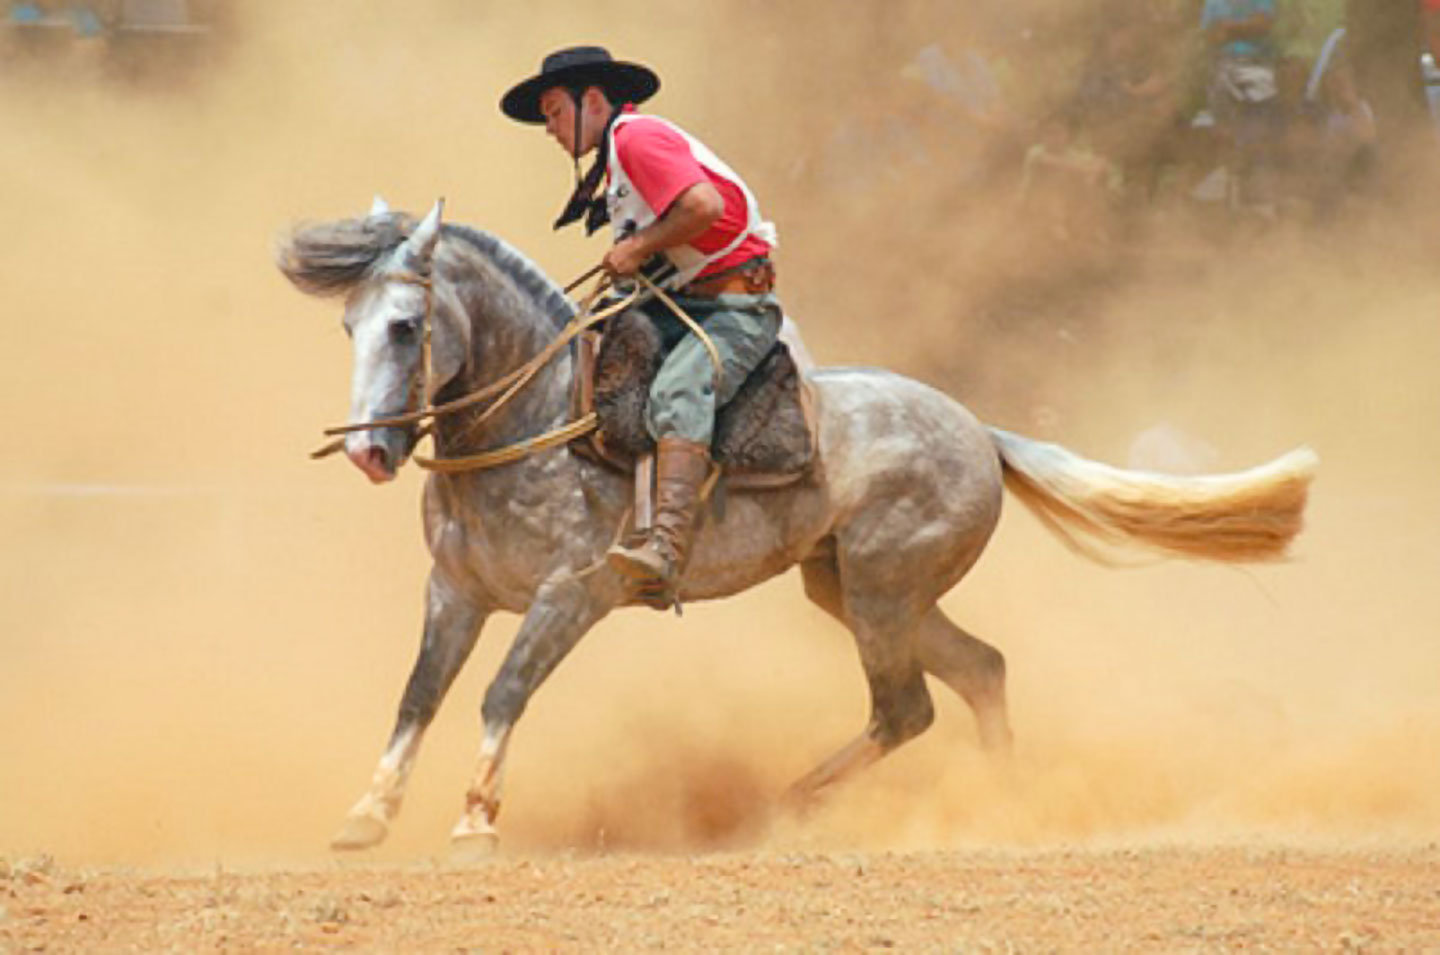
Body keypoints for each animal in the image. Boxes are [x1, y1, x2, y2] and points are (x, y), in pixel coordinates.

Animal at [277, 200, 1319, 852]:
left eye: (406, 327)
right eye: (348, 328)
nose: (370, 452)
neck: (536, 417)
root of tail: (980, 431)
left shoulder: (572, 594)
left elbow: (501, 693)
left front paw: (474, 820)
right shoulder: (453, 590)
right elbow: (417, 695)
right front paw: (367, 814)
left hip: (883, 590)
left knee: (906, 708)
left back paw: (789, 805)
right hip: (850, 586)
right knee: (979, 671)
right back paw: (1000, 803)